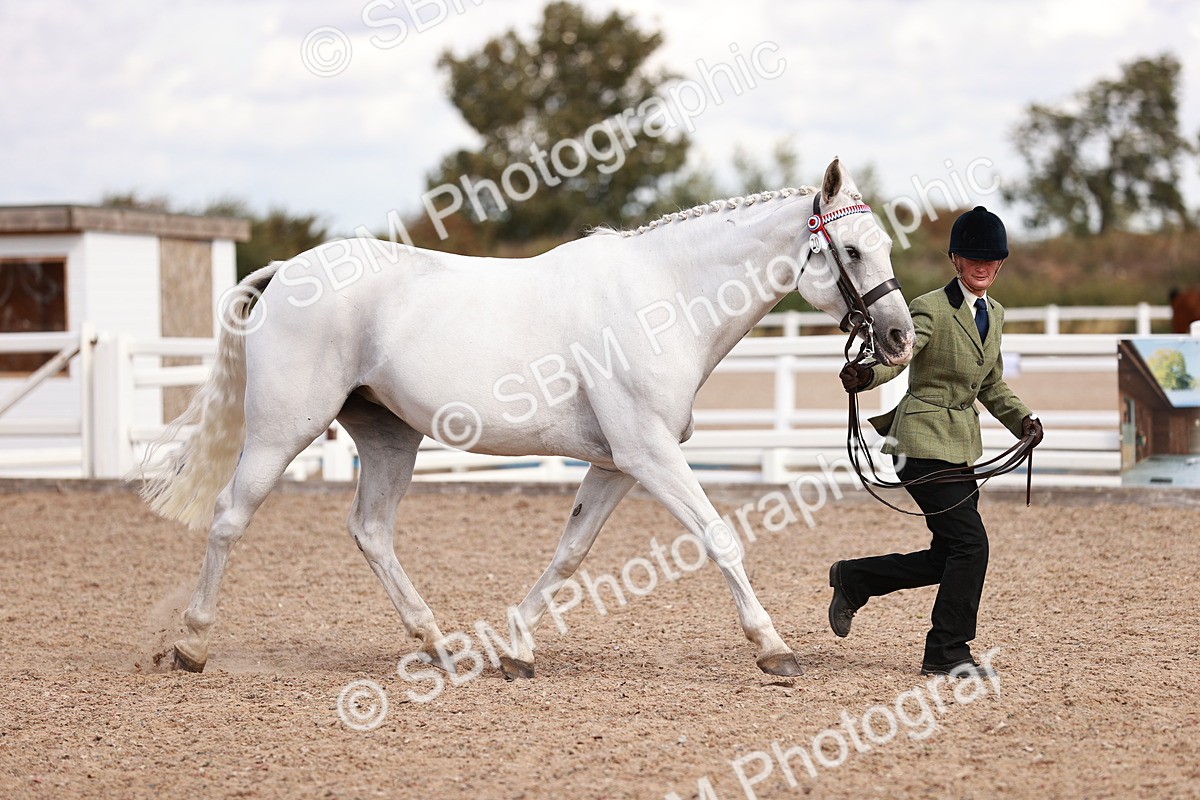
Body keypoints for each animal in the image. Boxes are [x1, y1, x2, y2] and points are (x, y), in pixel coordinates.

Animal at [139, 158, 915, 680]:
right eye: (851, 250)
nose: (900, 338)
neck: (663, 297)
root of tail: (286, 272)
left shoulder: (616, 464)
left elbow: (570, 553)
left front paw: (517, 649)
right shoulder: (650, 455)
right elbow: (719, 537)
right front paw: (774, 649)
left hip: (389, 437)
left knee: (371, 531)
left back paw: (440, 646)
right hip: (282, 432)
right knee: (230, 516)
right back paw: (192, 644)